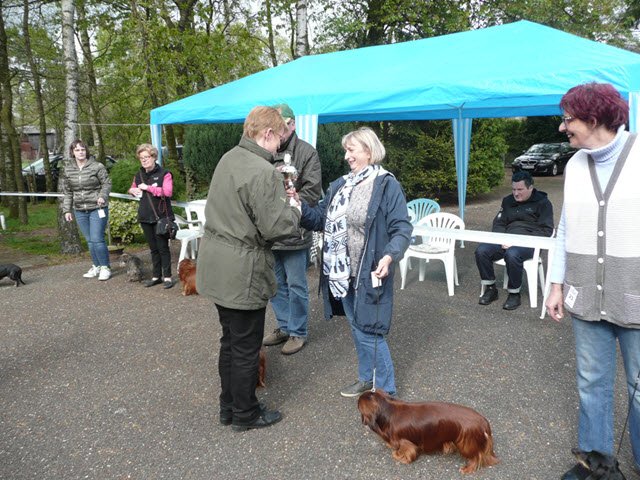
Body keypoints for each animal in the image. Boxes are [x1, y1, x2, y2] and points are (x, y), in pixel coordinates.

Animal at [358, 392, 498, 474]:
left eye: (358, 404)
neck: (389, 410)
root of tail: (484, 423)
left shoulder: (405, 441)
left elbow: (406, 451)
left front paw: (399, 457)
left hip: (466, 444)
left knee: (477, 456)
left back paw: (467, 468)